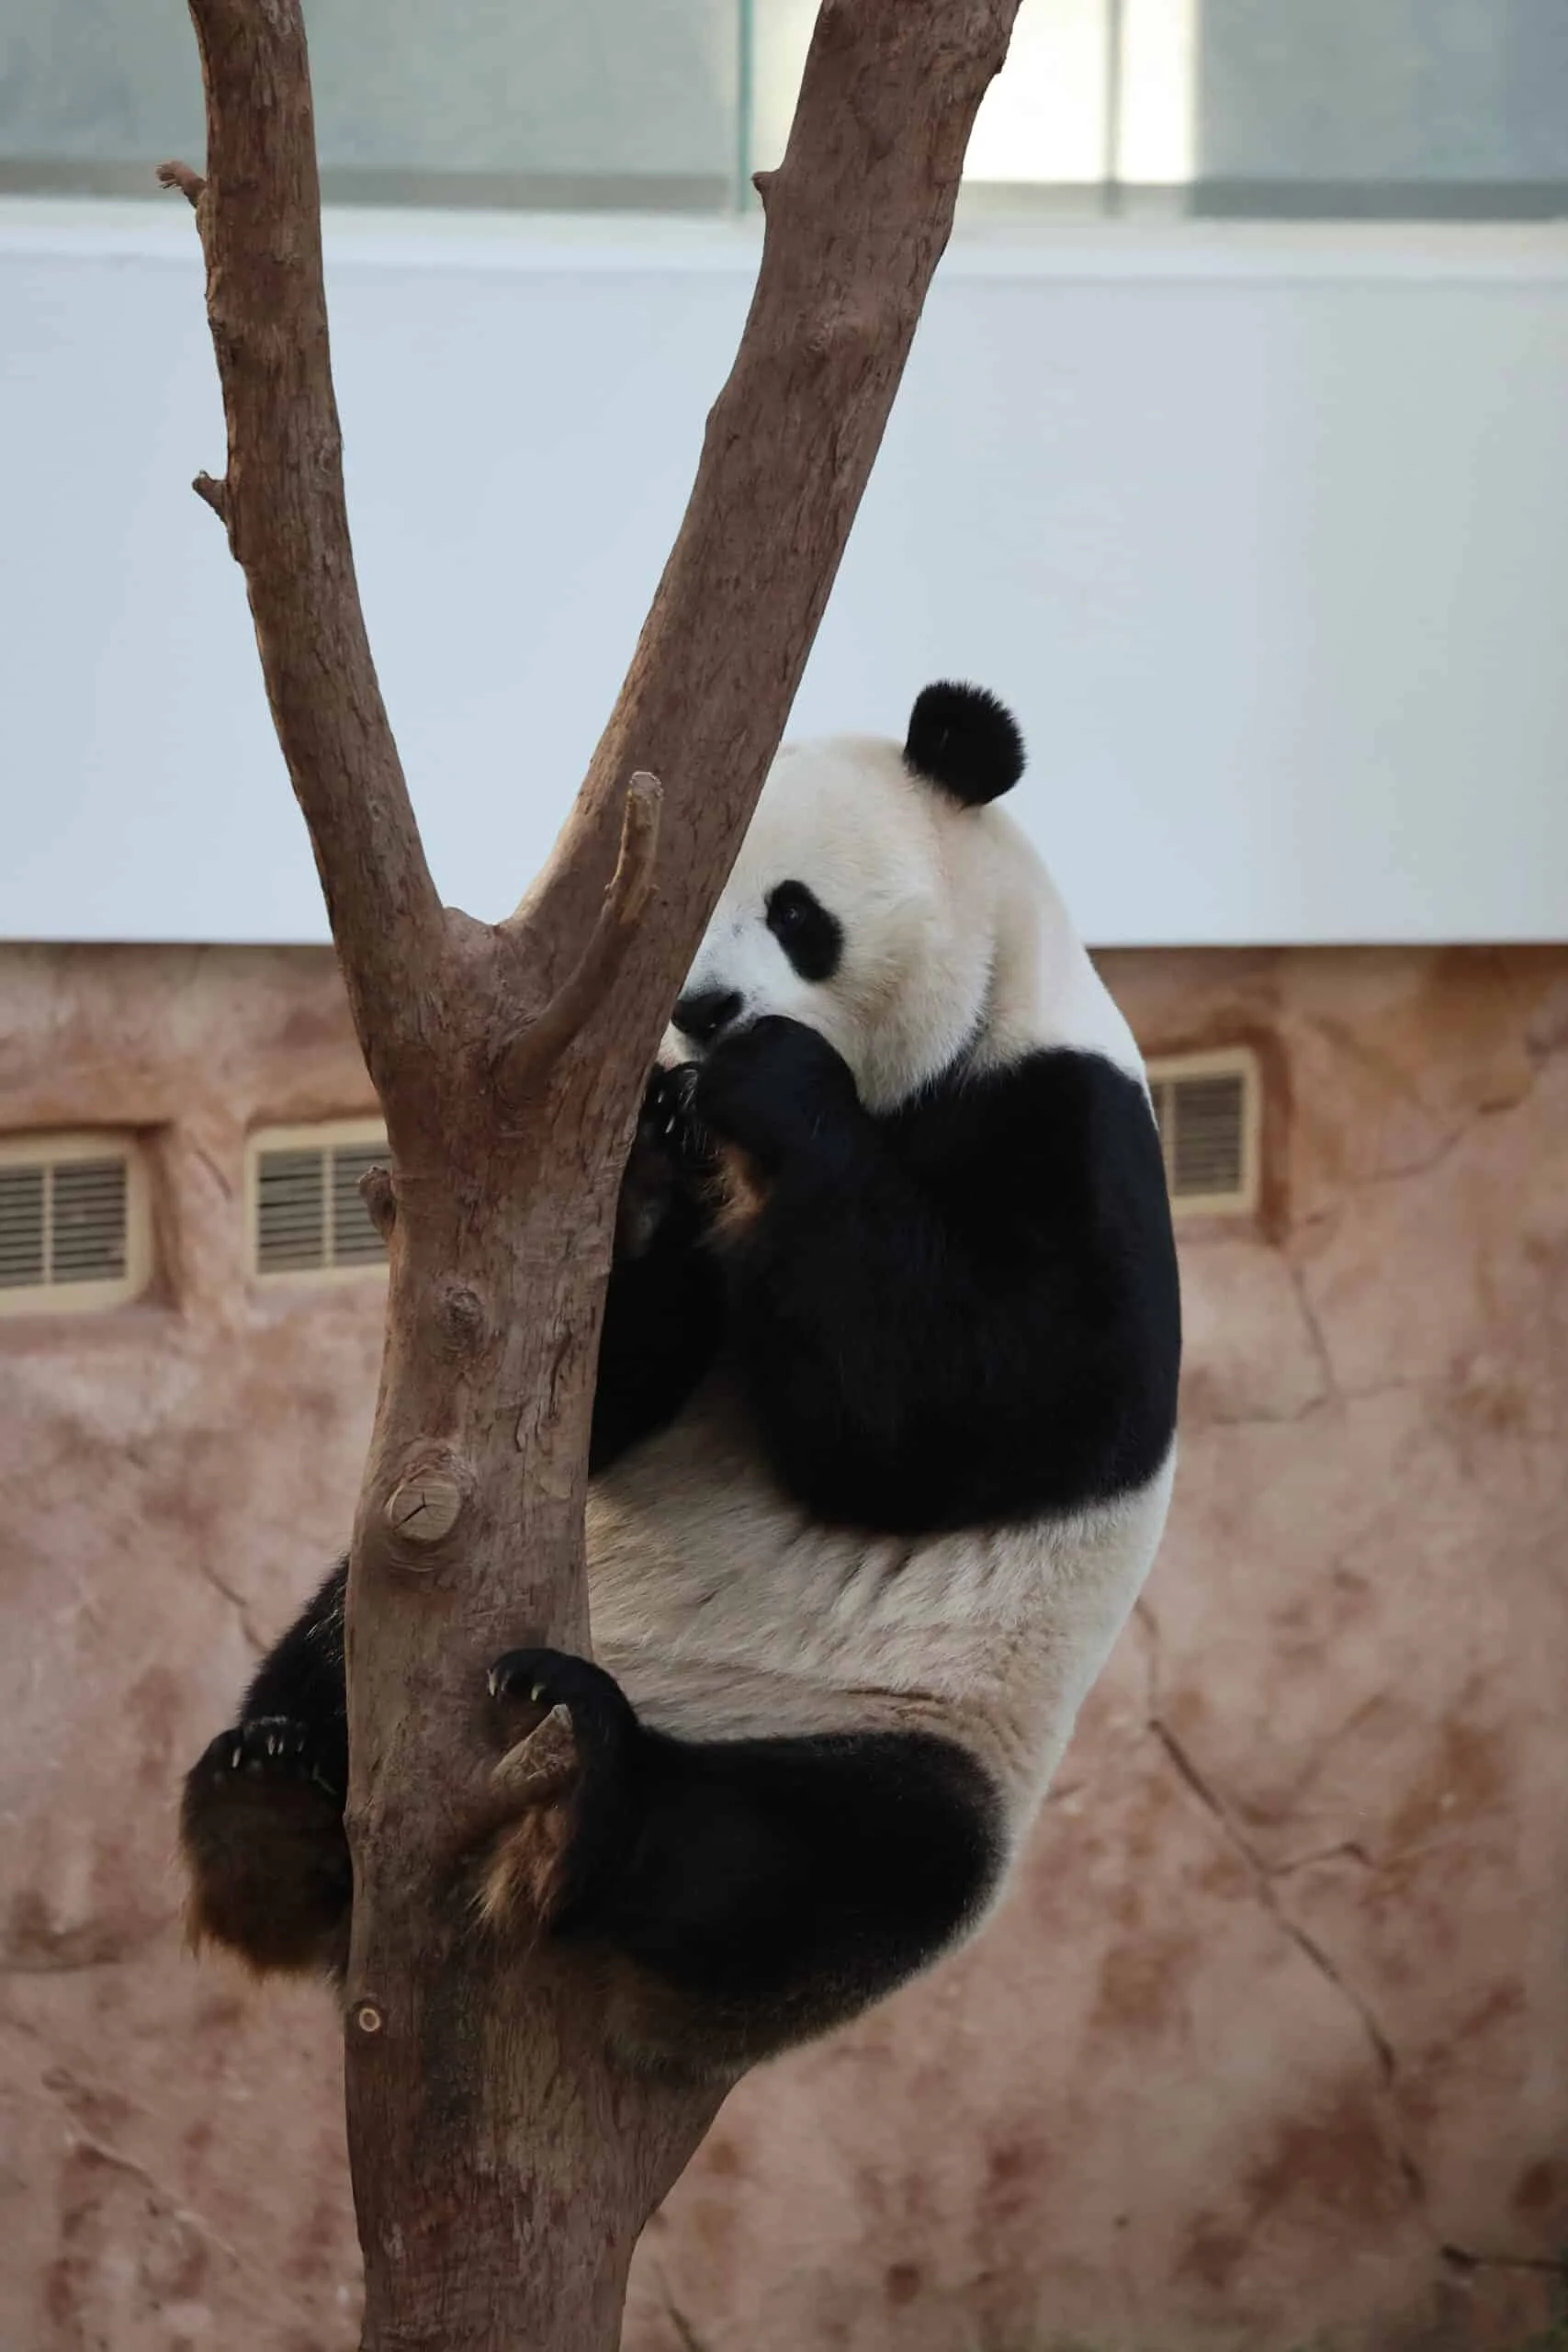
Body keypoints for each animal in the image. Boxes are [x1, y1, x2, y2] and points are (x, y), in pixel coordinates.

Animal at [181, 681, 1181, 2077]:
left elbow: (980, 1409)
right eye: (676, 912)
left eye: (798, 913)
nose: (705, 1009)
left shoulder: (1062, 1117)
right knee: (331, 1645)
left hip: (909, 1734)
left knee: (807, 1862)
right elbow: (590, 1395)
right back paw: (266, 1813)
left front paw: (774, 1086)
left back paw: (585, 1800)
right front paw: (653, 1181)